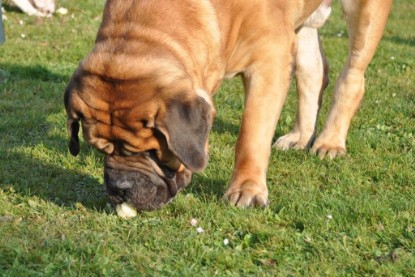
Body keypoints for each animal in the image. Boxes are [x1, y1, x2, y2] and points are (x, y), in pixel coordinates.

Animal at [64, 0, 394, 209]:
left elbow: (251, 133)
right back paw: (300, 136)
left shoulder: (269, 58)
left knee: (352, 76)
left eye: (154, 153)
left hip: (364, 12)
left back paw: (329, 141)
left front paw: (246, 189)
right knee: (312, 69)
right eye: (100, 150)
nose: (120, 188)